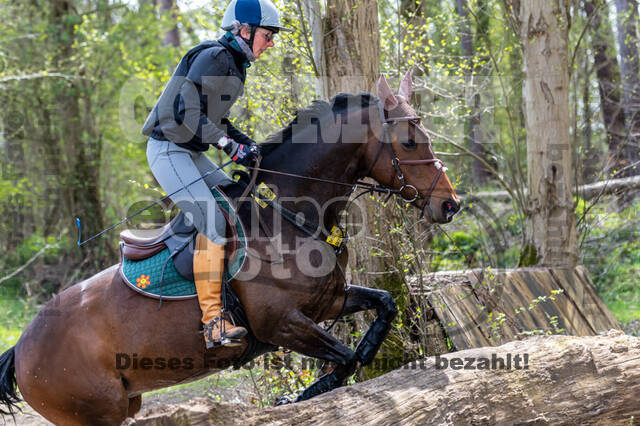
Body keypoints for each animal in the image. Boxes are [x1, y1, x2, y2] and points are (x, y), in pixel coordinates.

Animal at [0, 71, 460, 424]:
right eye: (409, 142)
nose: (450, 205)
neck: (290, 216)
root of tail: (20, 349)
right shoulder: (279, 323)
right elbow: (345, 358)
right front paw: (294, 397)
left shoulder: (328, 302)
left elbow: (382, 310)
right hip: (95, 412)